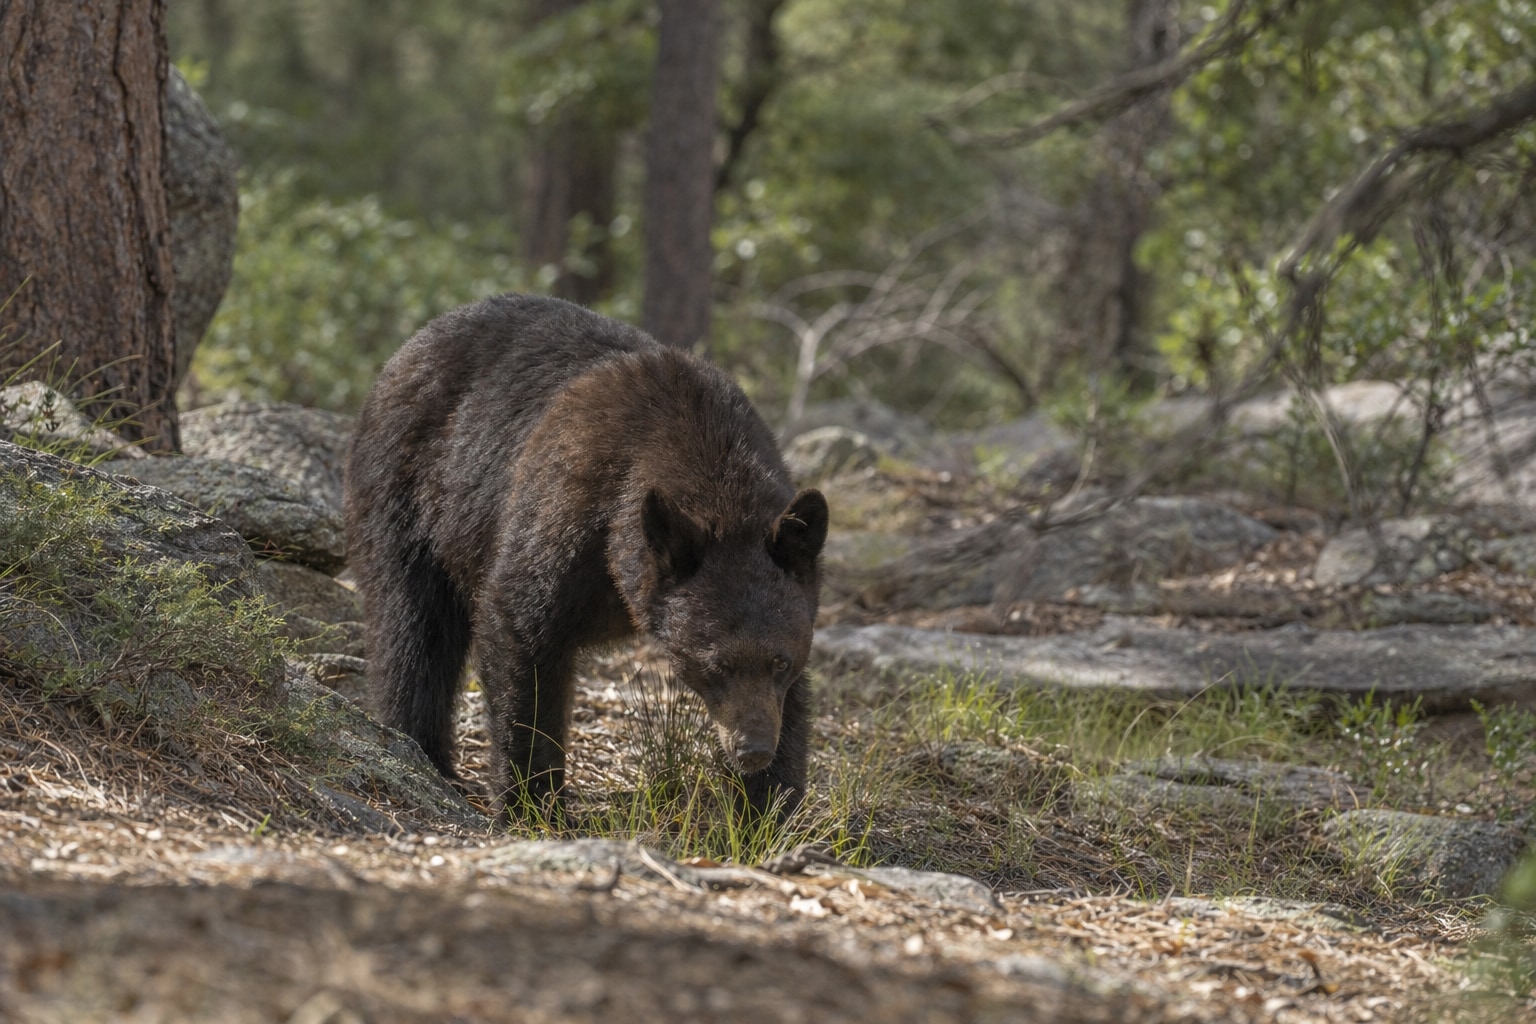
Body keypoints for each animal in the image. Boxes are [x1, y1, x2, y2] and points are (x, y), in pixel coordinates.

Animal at [344, 294, 828, 819]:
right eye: (714, 664)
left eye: (779, 661)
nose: (752, 749)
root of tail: (408, 349)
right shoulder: (566, 513)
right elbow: (521, 635)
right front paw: (531, 802)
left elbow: (793, 702)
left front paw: (769, 808)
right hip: (409, 498)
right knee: (415, 629)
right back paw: (424, 755)